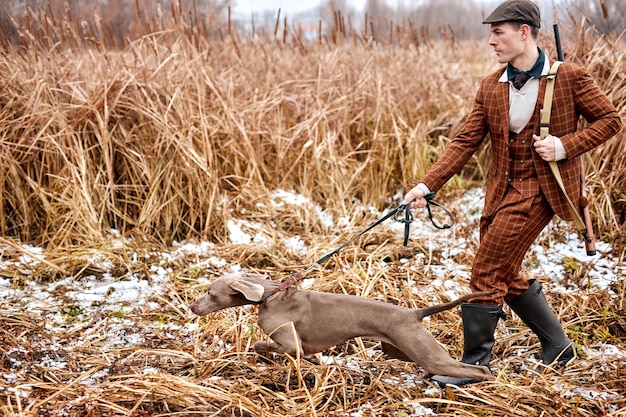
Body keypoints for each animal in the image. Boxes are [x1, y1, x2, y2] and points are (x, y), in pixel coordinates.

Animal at [188, 272, 494, 382]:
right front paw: (315, 361)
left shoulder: (290, 343)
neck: (271, 294)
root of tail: (414, 313)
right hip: (399, 349)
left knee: (481, 370)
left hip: (426, 354)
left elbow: (262, 344)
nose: (191, 306)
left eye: (210, 293)